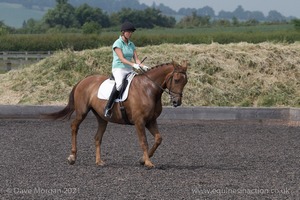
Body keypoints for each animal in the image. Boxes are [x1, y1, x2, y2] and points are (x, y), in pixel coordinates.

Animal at [44, 60, 188, 167]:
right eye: (176, 80)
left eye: (185, 81)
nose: (176, 102)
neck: (148, 89)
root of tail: (83, 80)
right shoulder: (139, 121)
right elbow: (143, 141)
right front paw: (148, 162)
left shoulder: (150, 121)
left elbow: (158, 139)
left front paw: (142, 160)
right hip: (82, 112)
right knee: (74, 127)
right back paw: (72, 157)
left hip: (102, 118)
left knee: (97, 137)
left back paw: (99, 161)